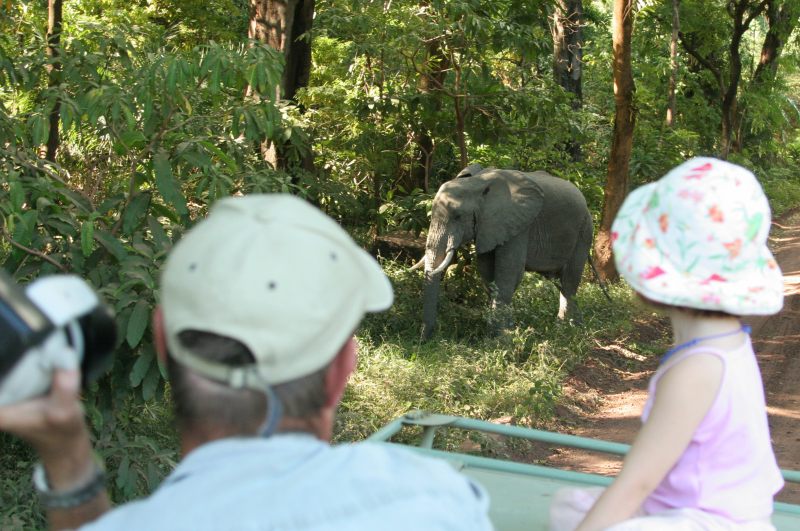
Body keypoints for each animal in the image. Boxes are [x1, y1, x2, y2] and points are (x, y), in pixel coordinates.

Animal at [418, 164, 592, 340]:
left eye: (457, 216)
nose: (424, 340)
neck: (477, 183)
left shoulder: (518, 224)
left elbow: (509, 273)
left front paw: (500, 338)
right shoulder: (488, 226)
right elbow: (487, 272)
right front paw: (496, 332)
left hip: (584, 232)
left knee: (569, 283)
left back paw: (568, 330)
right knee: (561, 283)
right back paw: (574, 327)